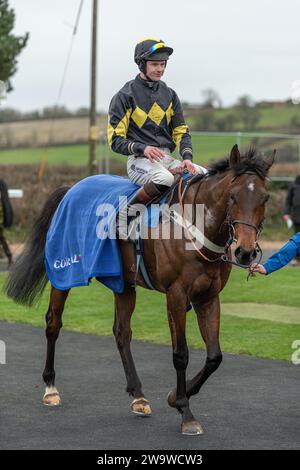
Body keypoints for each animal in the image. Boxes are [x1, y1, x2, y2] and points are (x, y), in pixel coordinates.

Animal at [4, 145, 274, 436]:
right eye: (233, 196)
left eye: (265, 197)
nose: (245, 252)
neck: (195, 226)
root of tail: (72, 189)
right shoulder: (176, 295)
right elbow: (181, 354)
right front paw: (185, 411)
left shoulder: (209, 297)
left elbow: (214, 356)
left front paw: (175, 396)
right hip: (64, 274)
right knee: (53, 323)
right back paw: (51, 388)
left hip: (123, 283)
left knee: (122, 333)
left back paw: (138, 396)